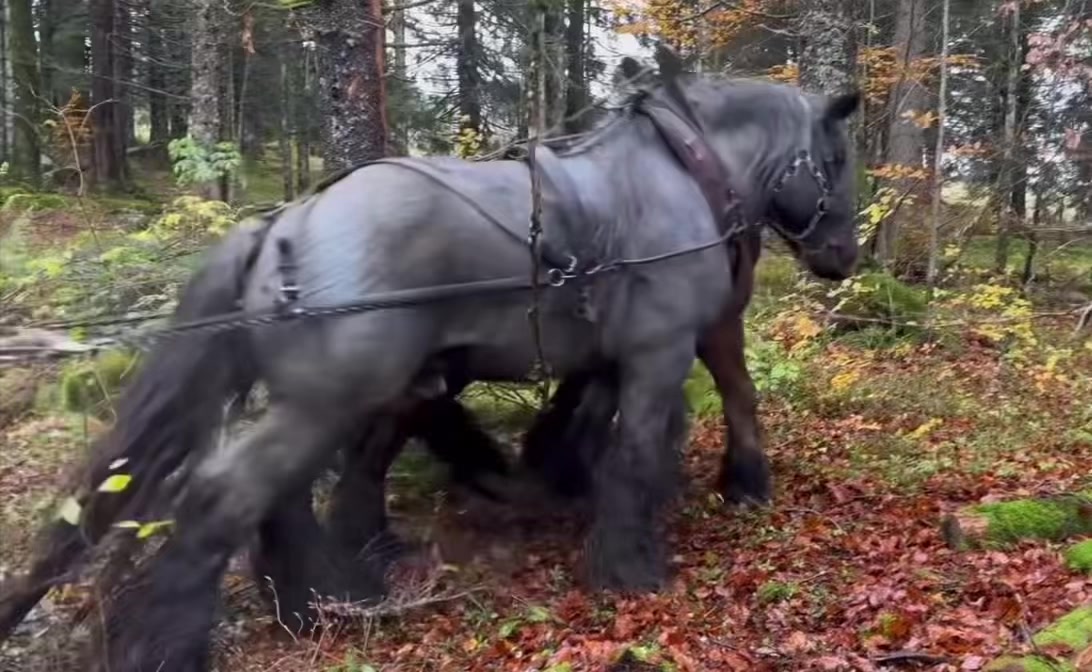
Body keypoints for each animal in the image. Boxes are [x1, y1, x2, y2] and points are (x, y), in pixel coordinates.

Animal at [0, 47, 859, 671]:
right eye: (838, 161)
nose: (844, 255)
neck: (683, 173)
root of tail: (286, 225)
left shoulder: (614, 355)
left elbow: (586, 426)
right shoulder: (661, 350)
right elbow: (642, 451)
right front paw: (633, 566)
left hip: (327, 399)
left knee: (279, 498)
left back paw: (322, 598)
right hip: (333, 397)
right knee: (226, 497)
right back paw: (180, 641)